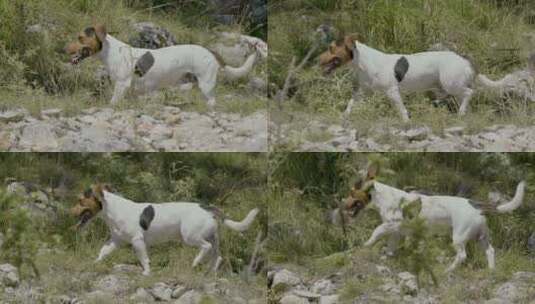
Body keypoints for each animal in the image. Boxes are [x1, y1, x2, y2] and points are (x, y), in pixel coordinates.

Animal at [66, 25, 260, 107]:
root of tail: (210, 51)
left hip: (206, 84)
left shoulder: (122, 84)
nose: (63, 48)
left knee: (212, 101)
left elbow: (113, 102)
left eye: (80, 38)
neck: (111, 51)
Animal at [70, 184, 260, 276]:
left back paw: (196, 262)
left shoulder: (137, 241)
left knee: (205, 248)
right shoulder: (115, 241)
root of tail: (207, 208)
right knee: (217, 256)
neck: (113, 209)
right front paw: (94, 263)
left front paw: (146, 273)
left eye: (80, 201)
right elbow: (102, 252)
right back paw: (210, 272)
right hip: (213, 238)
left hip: (190, 236)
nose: (69, 212)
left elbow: (144, 259)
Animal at [318, 35, 478, 121]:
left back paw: (461, 113)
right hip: (451, 86)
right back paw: (463, 113)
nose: (317, 59)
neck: (365, 61)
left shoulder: (392, 91)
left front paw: (406, 122)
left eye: (331, 48)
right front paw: (344, 117)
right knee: (463, 98)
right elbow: (350, 104)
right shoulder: (362, 91)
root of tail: (465, 61)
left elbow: (401, 109)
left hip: (451, 84)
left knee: (470, 93)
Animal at [342, 165, 524, 272]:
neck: (381, 196)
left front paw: (366, 244)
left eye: (351, 192)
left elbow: (376, 231)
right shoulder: (396, 233)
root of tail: (475, 205)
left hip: (459, 237)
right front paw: (386, 258)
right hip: (481, 237)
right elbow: (390, 248)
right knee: (490, 251)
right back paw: (491, 271)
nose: (342, 203)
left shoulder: (391, 225)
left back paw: (449, 270)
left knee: (462, 256)